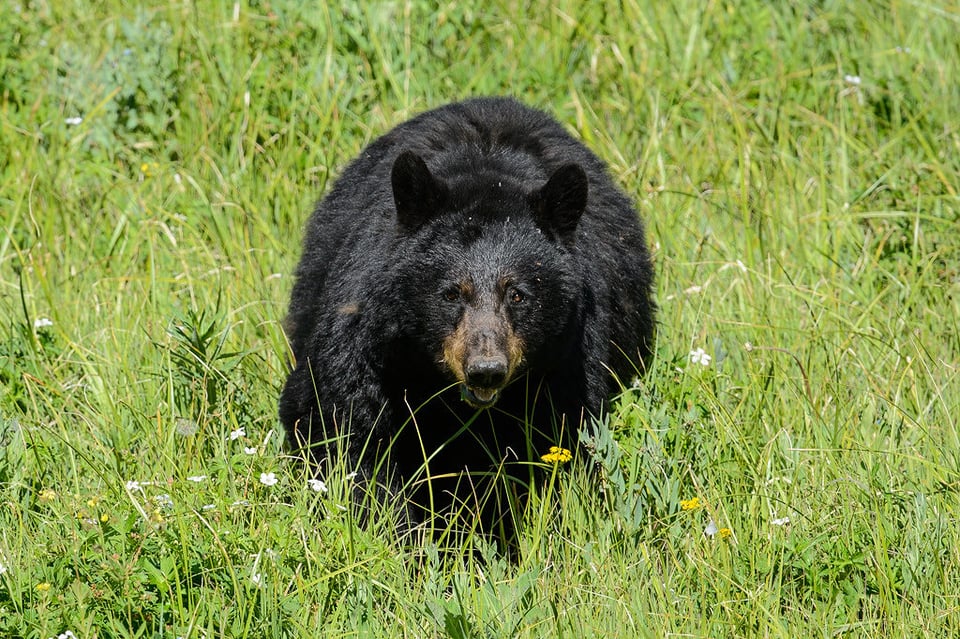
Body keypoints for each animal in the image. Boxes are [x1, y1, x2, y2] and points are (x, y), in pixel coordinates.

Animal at [278, 96, 652, 544]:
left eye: (518, 294)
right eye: (452, 293)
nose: (485, 370)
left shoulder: (570, 358)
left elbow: (561, 443)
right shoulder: (363, 334)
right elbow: (348, 430)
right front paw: (403, 535)